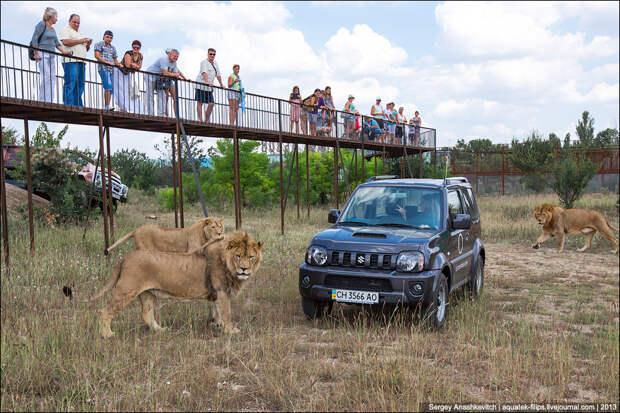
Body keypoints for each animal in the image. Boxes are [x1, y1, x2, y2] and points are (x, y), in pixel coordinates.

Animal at [65, 230, 262, 336]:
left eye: (251, 257)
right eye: (238, 256)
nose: (244, 269)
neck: (226, 261)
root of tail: (126, 257)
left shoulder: (216, 294)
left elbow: (217, 312)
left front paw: (217, 325)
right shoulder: (222, 292)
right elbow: (226, 313)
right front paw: (230, 331)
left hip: (148, 294)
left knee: (146, 314)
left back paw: (160, 330)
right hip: (125, 292)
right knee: (106, 310)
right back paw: (107, 334)